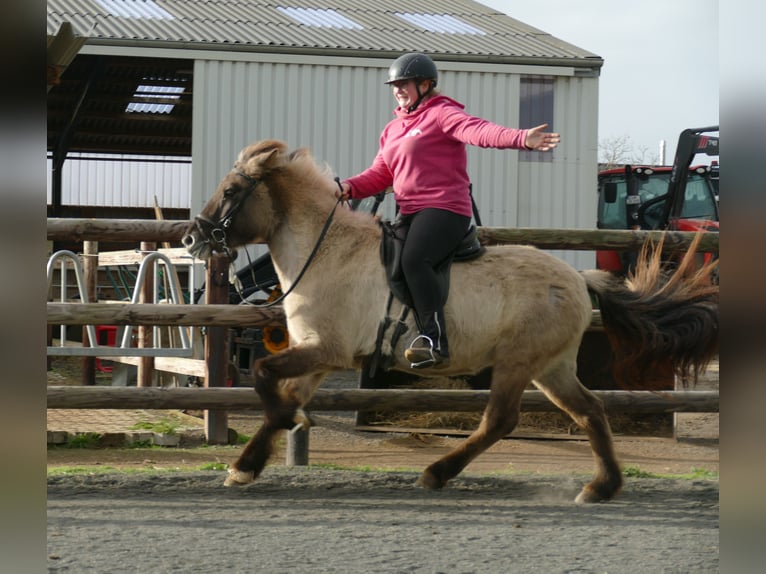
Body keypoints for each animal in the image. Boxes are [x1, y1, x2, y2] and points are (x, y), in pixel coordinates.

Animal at [184, 140, 720, 504]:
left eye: (231, 190)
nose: (193, 238)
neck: (327, 250)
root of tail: (575, 275)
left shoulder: (326, 350)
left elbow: (266, 378)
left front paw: (271, 440)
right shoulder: (317, 354)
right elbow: (282, 393)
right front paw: (248, 464)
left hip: (518, 363)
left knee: (501, 420)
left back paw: (438, 472)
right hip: (551, 367)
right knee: (589, 410)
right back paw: (602, 487)